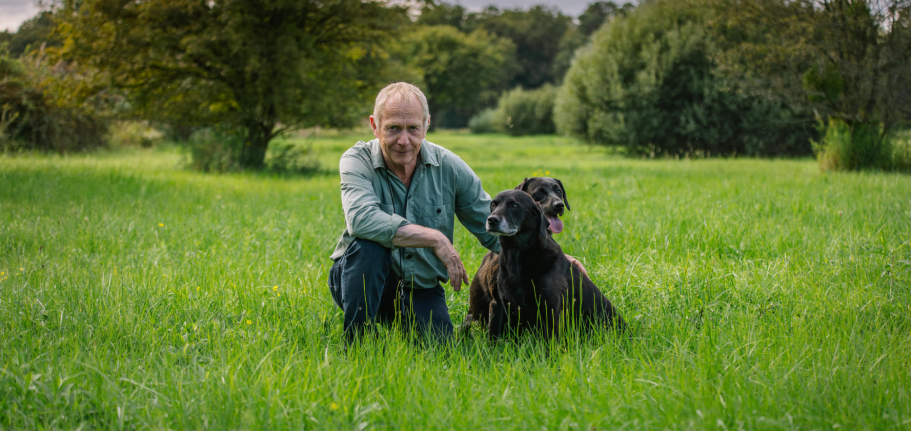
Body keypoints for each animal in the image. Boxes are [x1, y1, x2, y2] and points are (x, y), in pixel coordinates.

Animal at [483, 190, 623, 339]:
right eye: (493, 204)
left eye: (514, 205)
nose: (492, 220)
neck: (516, 253)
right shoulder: (509, 307)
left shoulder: (549, 308)